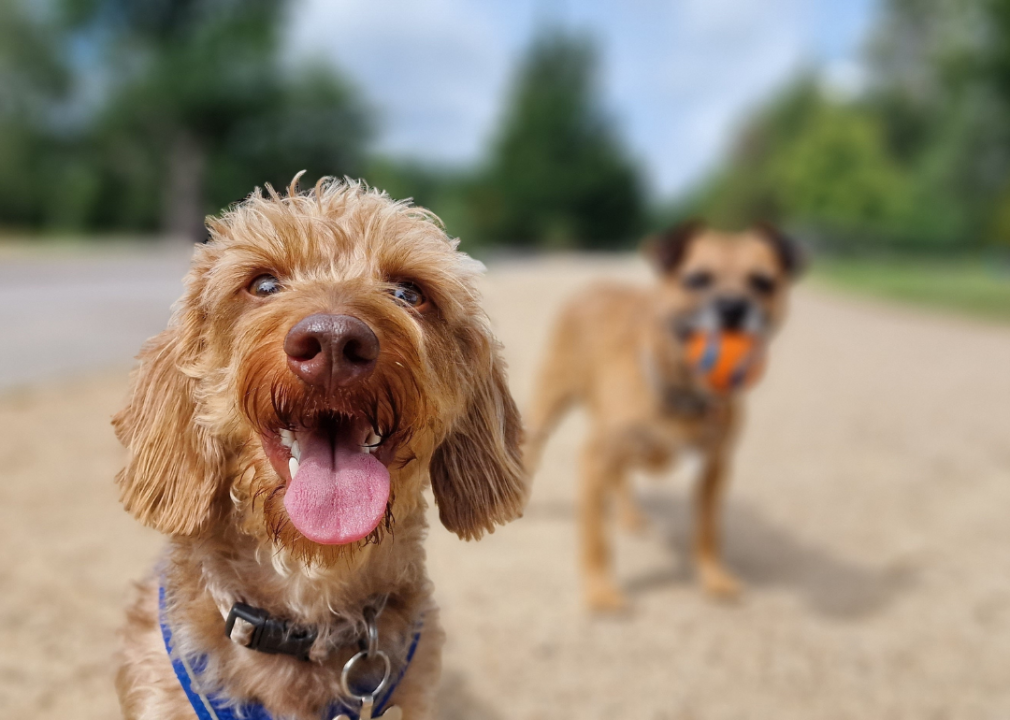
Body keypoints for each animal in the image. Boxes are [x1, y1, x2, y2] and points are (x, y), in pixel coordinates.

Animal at [525, 222, 799, 609]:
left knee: (622, 476)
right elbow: (596, 540)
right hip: (549, 401)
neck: (682, 391)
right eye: (697, 279)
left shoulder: (714, 468)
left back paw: (630, 515)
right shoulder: (594, 458)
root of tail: (594, 286)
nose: (732, 307)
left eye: (762, 282)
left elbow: (708, 531)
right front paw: (600, 590)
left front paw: (714, 578)